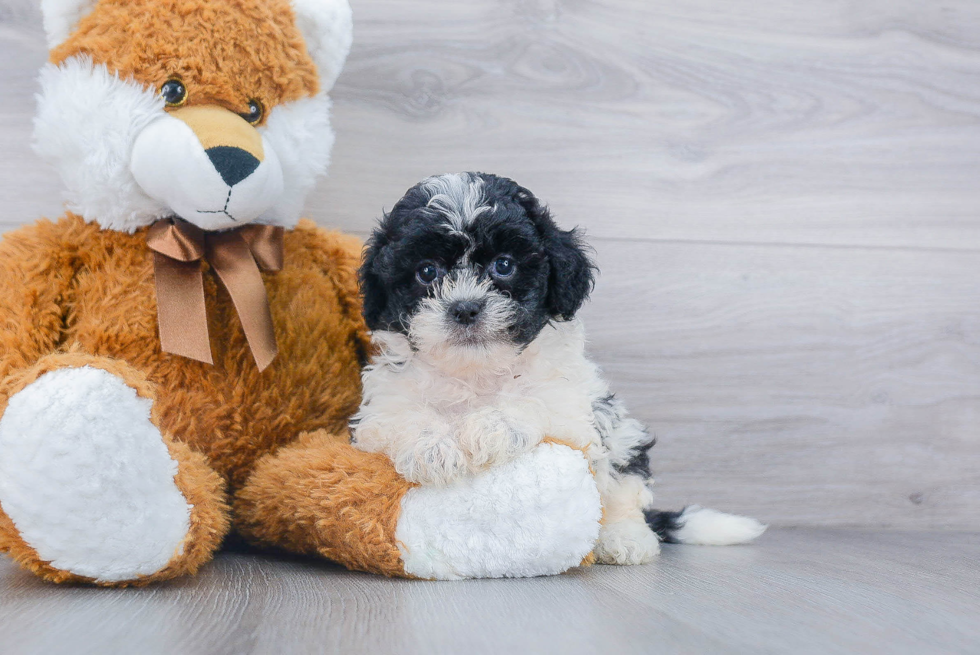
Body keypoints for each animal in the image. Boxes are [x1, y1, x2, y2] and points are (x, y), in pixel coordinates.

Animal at [352, 173, 764, 564]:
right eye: (427, 272)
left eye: (504, 265)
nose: (465, 308)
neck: (477, 372)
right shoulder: (382, 407)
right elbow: (403, 416)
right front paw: (433, 448)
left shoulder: (573, 408)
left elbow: (534, 400)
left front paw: (493, 426)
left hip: (620, 435)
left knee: (623, 491)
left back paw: (625, 539)